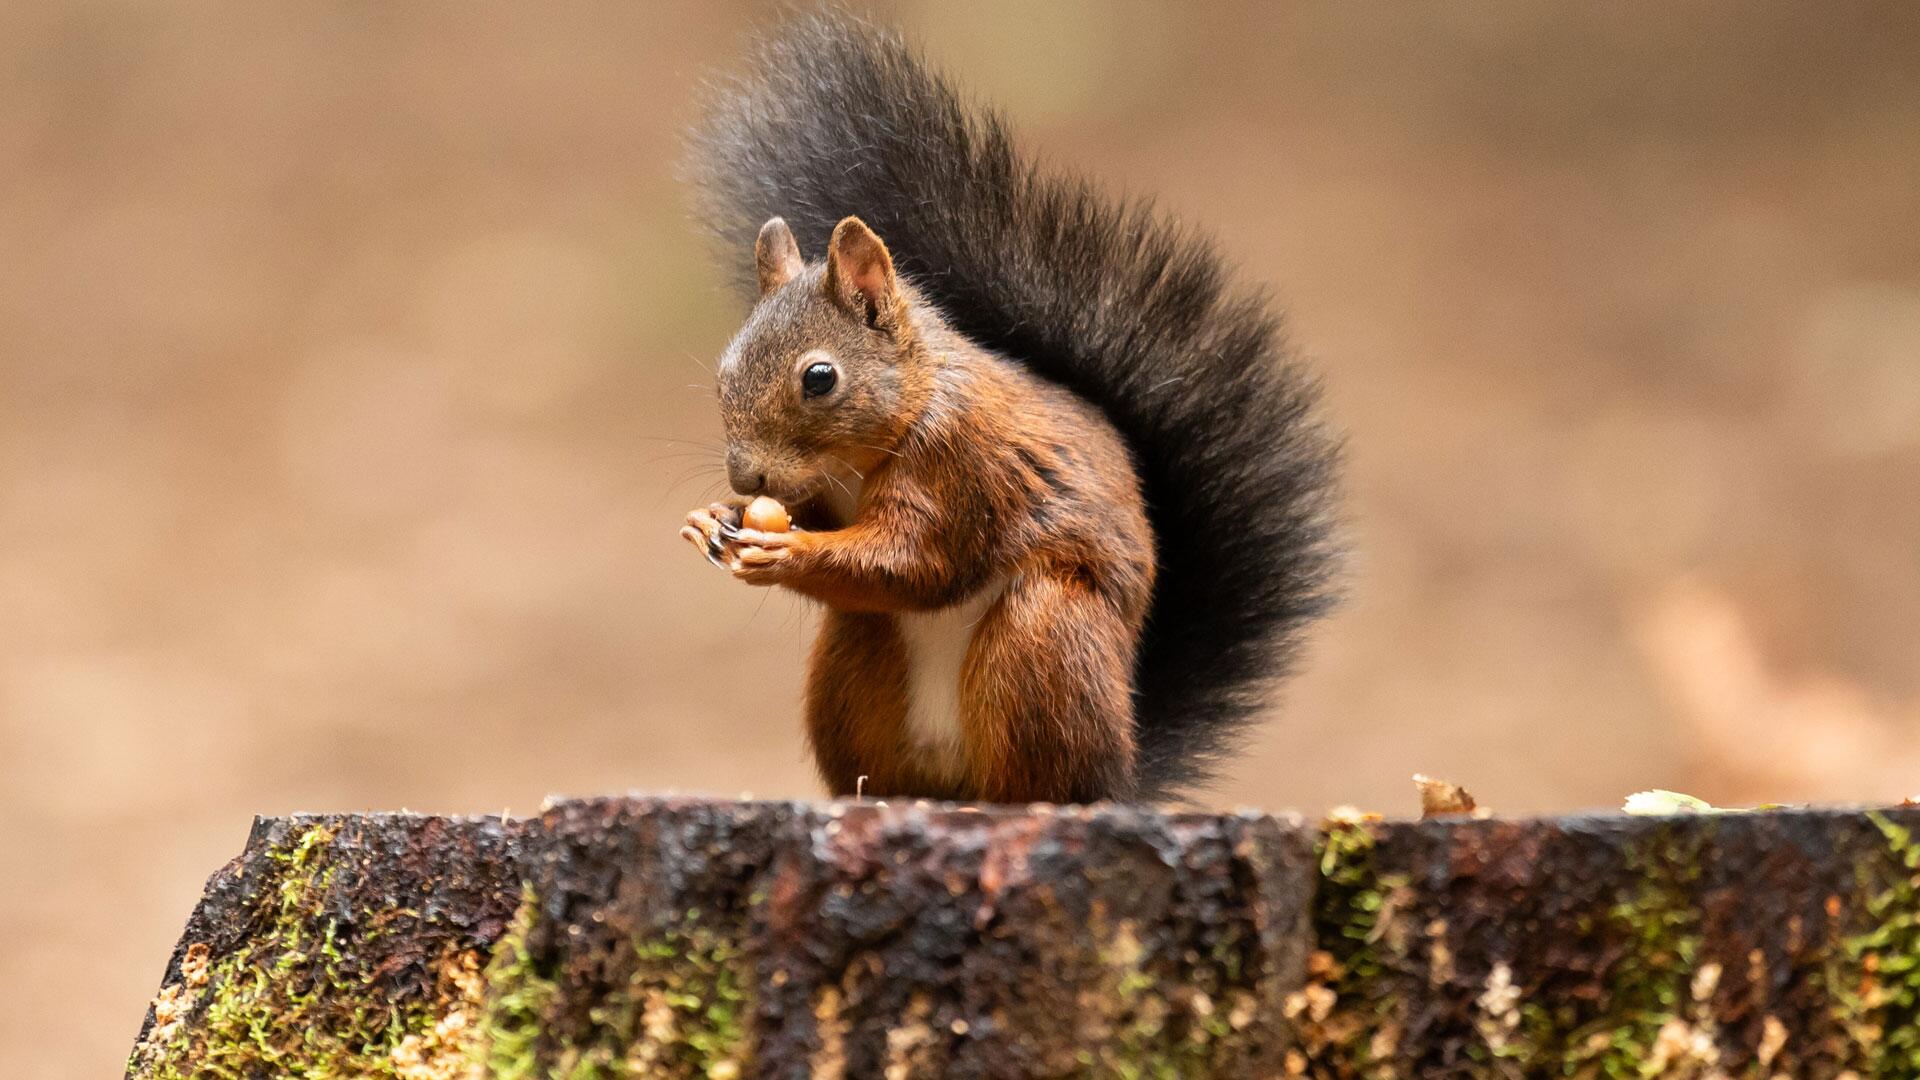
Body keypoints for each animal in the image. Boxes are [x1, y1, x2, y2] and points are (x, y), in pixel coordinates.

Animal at [679, 13, 1339, 804]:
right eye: (725, 367)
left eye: (819, 378)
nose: (745, 479)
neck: (882, 435)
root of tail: (1120, 774)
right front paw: (713, 519)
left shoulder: (960, 466)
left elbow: (916, 563)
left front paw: (787, 550)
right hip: (856, 658)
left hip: (1042, 639)